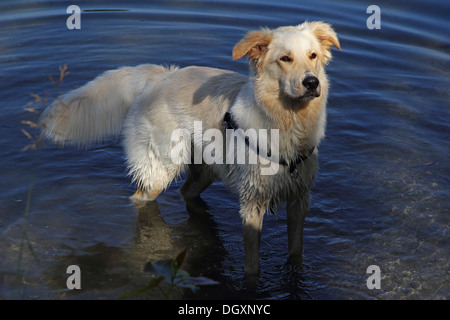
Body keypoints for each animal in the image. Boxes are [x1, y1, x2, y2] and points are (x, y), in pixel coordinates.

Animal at [40, 21, 340, 274]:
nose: (312, 82)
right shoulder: (252, 204)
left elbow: (296, 251)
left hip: (206, 170)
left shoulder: (299, 199)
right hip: (159, 170)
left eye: (313, 56)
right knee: (140, 198)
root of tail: (160, 77)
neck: (287, 123)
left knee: (186, 191)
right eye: (285, 59)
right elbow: (252, 266)